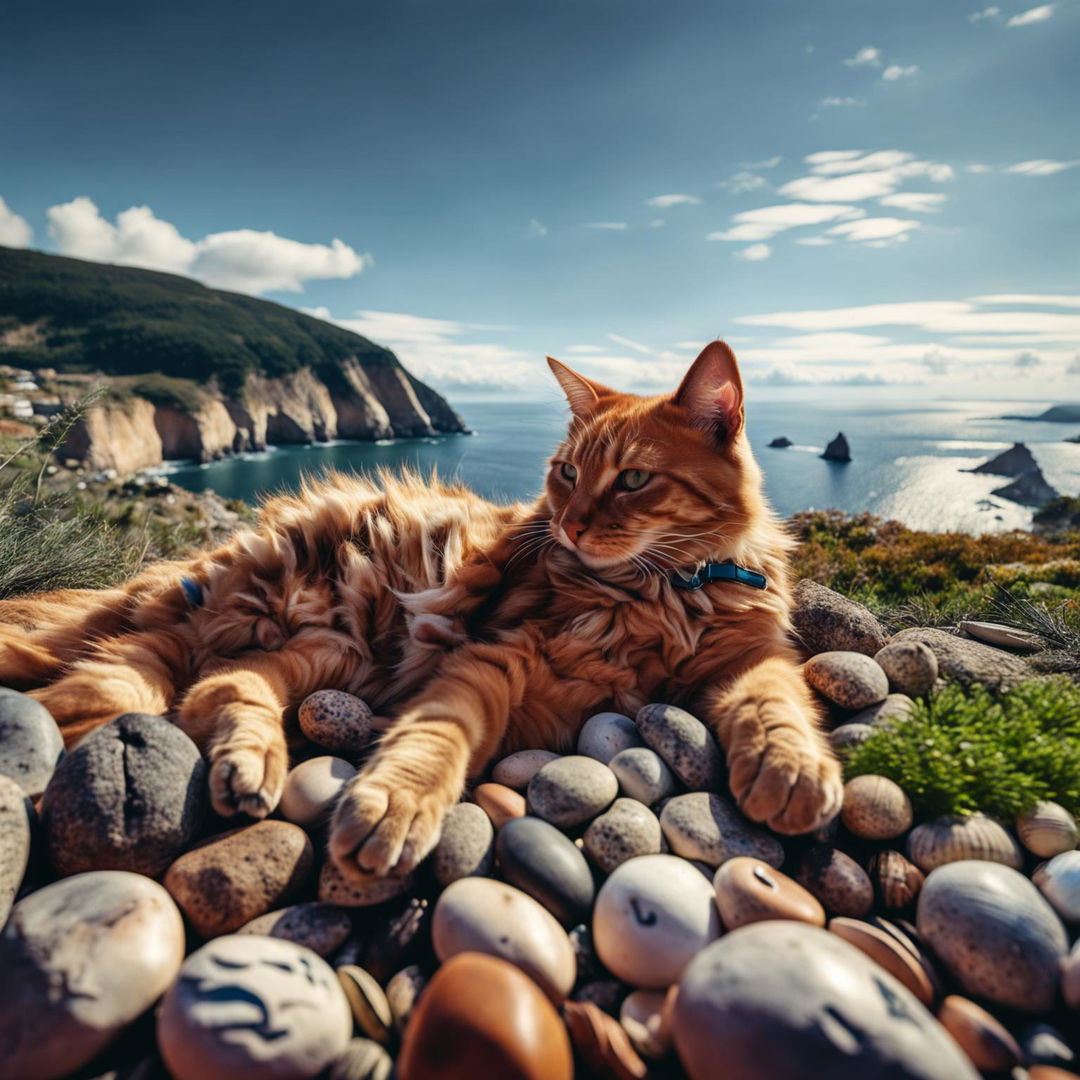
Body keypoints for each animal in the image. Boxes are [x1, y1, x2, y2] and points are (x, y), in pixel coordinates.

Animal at [0, 345, 842, 876]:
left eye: (633, 479)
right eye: (567, 473)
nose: (569, 524)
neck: (665, 592)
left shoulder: (751, 658)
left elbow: (775, 707)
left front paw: (792, 768)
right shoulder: (494, 658)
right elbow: (435, 738)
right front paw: (396, 805)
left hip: (327, 656)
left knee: (218, 685)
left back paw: (248, 768)